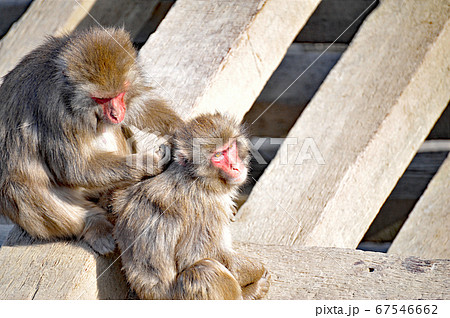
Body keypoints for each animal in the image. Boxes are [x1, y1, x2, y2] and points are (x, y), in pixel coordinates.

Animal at [0, 28, 181, 256]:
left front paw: (182, 130)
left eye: (120, 94)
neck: (69, 94)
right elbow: (75, 168)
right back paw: (93, 225)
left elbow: (139, 104)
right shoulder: (56, 113)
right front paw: (149, 162)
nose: (116, 113)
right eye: (101, 99)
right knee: (18, 186)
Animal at [112, 113, 270, 300]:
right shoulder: (206, 207)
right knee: (204, 271)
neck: (197, 178)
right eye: (218, 155)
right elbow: (199, 255)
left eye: (230, 148)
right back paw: (248, 294)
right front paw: (257, 269)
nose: (235, 167)